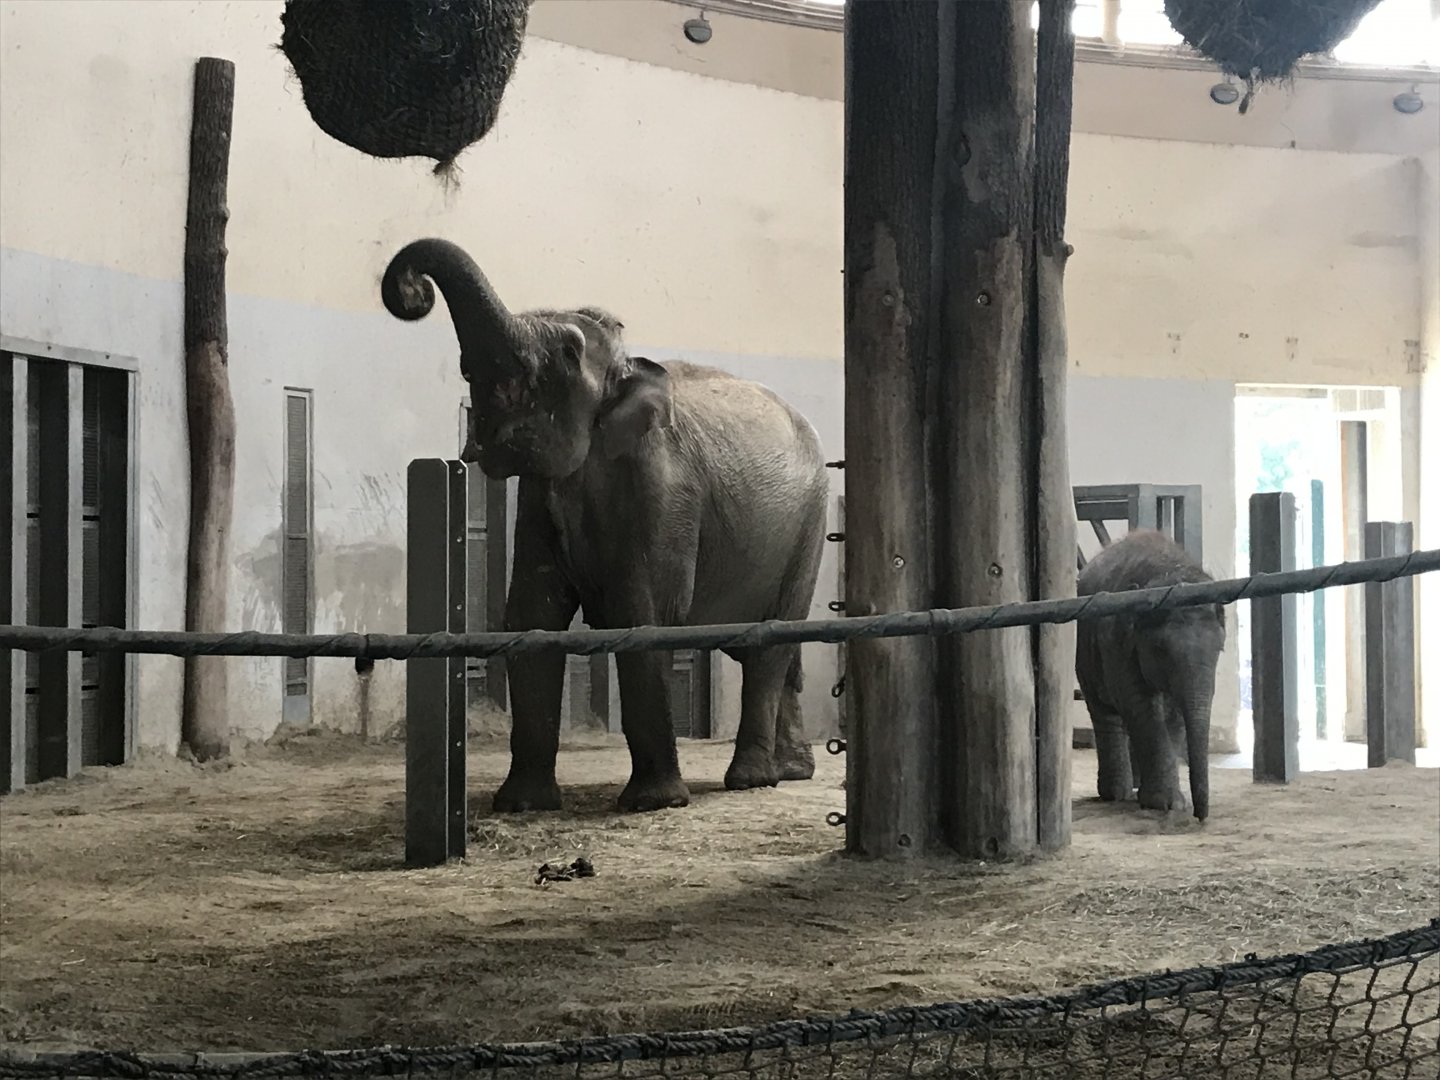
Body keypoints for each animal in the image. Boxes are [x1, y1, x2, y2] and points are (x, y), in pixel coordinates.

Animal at [381, 238, 829, 813]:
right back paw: (791, 771)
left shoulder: (664, 492)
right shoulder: (539, 501)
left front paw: (653, 803)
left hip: (809, 527)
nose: (414, 291)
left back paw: (750, 780)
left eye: (569, 352)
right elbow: (531, 616)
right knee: (774, 652)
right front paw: (524, 804)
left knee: (772, 644)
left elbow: (641, 614)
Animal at [1074, 529, 1226, 821]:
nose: (1201, 816)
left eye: (1220, 649)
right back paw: (1117, 793)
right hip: (1084, 654)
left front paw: (1171, 802)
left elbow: (1175, 714)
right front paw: (1167, 804)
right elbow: (1142, 707)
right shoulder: (1118, 642)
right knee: (1104, 712)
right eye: (1160, 650)